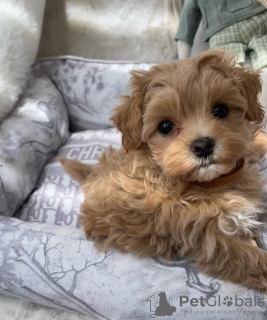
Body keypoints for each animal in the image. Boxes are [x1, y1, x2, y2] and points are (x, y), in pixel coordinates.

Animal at [60, 49, 267, 290]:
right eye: (165, 127)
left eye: (221, 110)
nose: (202, 145)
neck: (210, 184)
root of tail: (92, 174)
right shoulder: (203, 239)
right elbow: (244, 256)